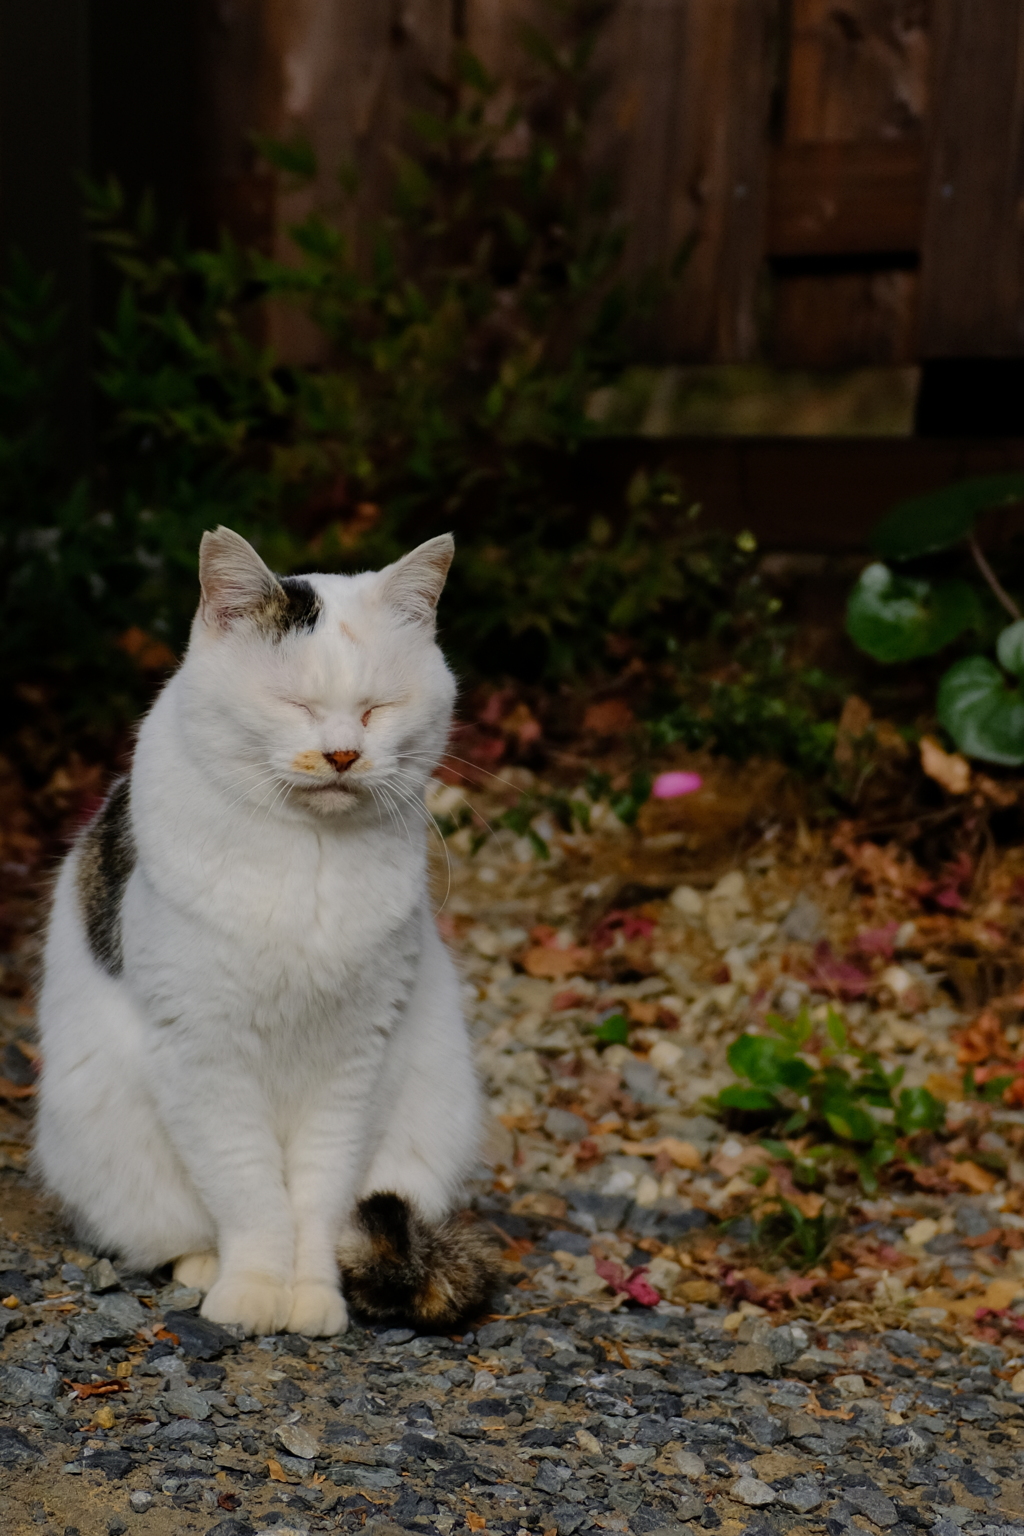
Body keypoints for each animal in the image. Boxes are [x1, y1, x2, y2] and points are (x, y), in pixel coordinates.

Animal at [33, 528, 497, 1333]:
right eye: (295, 704)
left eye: (376, 709)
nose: (342, 753)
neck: (309, 859)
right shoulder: (202, 1054)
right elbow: (248, 1191)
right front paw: (251, 1290)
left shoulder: (353, 1062)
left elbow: (319, 1200)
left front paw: (311, 1296)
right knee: (178, 1230)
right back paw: (205, 1267)